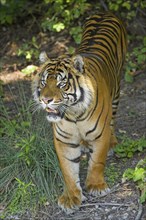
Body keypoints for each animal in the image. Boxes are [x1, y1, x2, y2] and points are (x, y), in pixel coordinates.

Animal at [32, 12, 126, 213]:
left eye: (61, 83)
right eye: (44, 82)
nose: (45, 100)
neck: (73, 114)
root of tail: (105, 12)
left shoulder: (100, 135)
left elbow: (97, 161)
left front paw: (96, 186)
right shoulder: (64, 140)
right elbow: (68, 169)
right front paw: (71, 198)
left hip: (117, 89)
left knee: (113, 119)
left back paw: (113, 143)